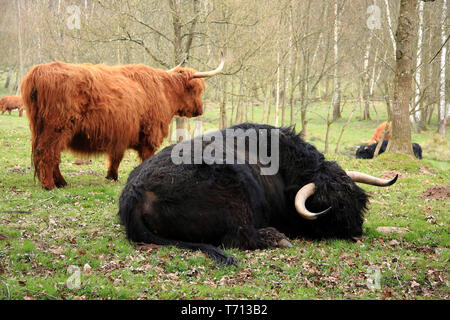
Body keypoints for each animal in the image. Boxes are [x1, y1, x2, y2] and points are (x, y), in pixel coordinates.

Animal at [21, 53, 225, 189]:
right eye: (197, 90)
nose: (200, 110)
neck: (164, 91)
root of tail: (40, 71)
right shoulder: (150, 134)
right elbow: (146, 157)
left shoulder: (120, 135)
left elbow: (115, 157)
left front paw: (112, 176)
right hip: (57, 127)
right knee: (47, 153)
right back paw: (50, 185)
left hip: (41, 128)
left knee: (51, 155)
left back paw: (61, 182)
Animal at [117, 122, 398, 264]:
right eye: (333, 205)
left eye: (356, 200)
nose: (357, 232)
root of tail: (135, 194)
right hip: (235, 198)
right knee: (237, 237)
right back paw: (276, 238)